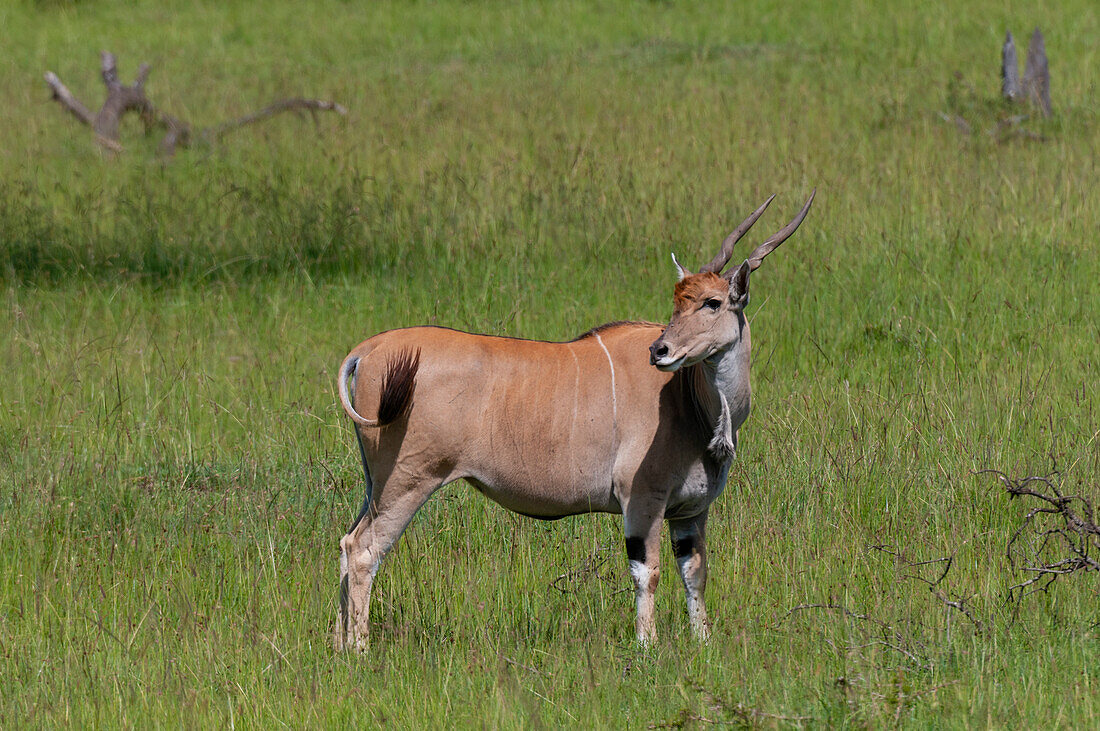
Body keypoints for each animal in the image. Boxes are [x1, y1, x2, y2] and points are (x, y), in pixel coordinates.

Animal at [336, 189, 818, 650]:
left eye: (712, 302)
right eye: (679, 303)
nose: (660, 350)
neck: (694, 404)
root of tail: (367, 349)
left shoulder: (691, 511)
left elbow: (695, 572)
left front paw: (702, 642)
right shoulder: (642, 499)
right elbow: (647, 572)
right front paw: (647, 647)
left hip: (376, 484)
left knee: (345, 543)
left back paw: (338, 646)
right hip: (408, 479)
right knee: (363, 550)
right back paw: (359, 650)